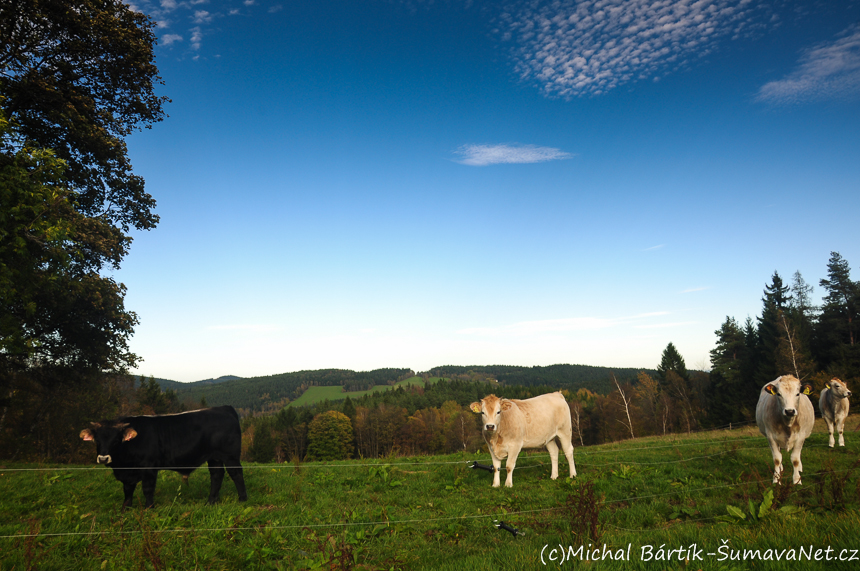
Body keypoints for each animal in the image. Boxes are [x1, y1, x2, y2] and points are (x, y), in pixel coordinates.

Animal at [80, 406, 249, 510]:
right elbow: (127, 490)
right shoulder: (127, 473)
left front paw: (149, 508)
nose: (103, 458)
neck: (123, 465)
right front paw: (125, 509)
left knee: (236, 474)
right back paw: (211, 502)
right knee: (216, 475)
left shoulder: (149, 467)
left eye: (116, 440)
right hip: (214, 457)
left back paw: (242, 500)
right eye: (97, 440)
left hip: (230, 456)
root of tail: (223, 408)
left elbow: (147, 489)